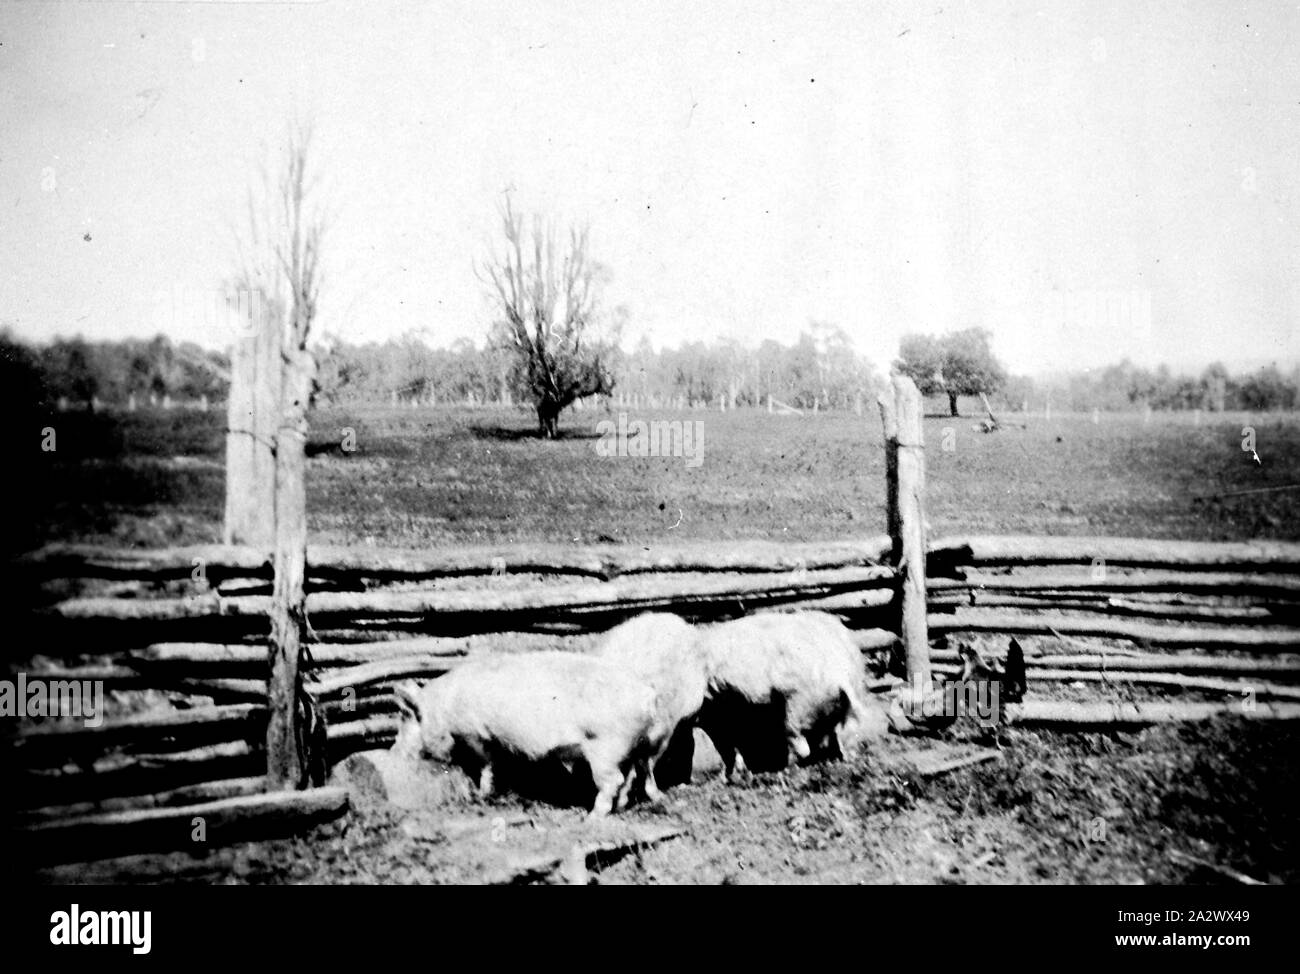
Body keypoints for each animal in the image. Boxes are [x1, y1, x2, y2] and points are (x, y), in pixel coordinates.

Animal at [390, 650, 660, 816]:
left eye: (405, 717)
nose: (394, 750)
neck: (442, 708)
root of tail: (646, 695)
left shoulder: (473, 733)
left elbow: (484, 764)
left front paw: (481, 792)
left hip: (604, 746)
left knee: (614, 780)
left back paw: (592, 816)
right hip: (633, 744)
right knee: (633, 775)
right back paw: (624, 806)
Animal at [696, 611, 889, 780]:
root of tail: (838, 669)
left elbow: (728, 747)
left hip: (797, 705)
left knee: (801, 745)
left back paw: (787, 770)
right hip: (838, 704)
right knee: (842, 737)